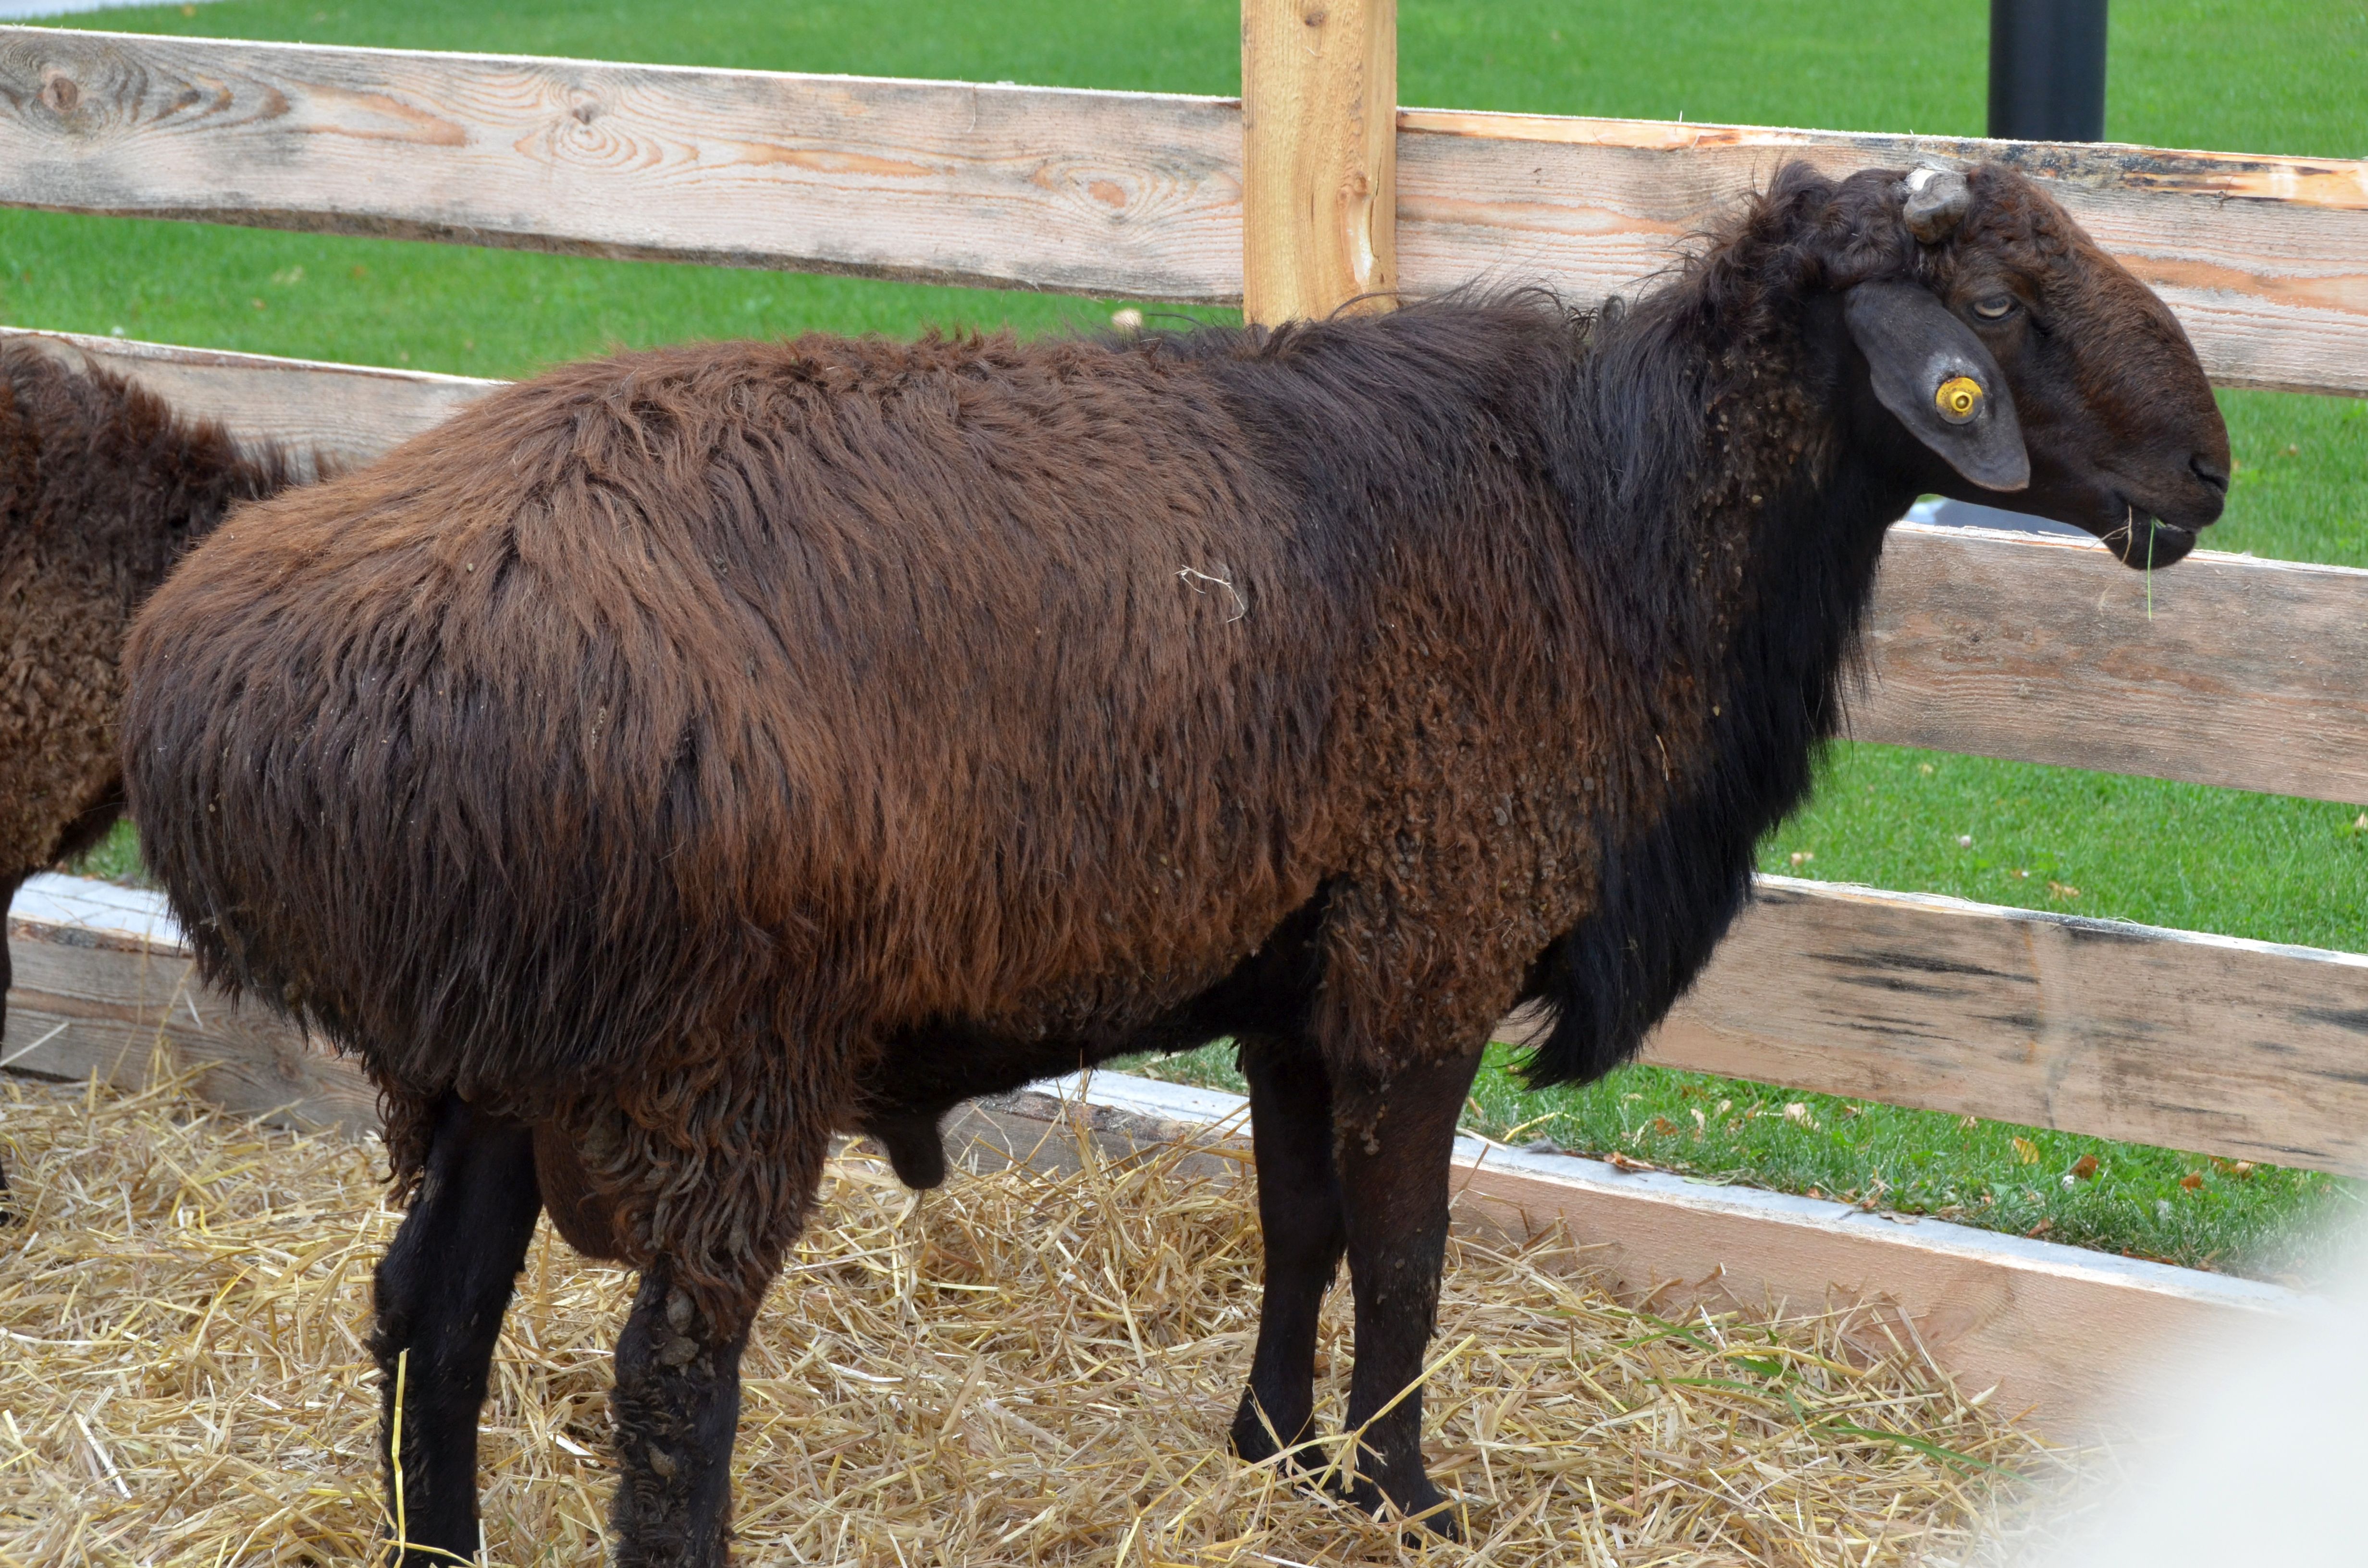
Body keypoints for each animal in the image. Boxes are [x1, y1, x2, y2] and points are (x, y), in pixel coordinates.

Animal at [115, 162, 2216, 1568]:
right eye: (2005, 310)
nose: (2206, 475)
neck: (1609, 515)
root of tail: (230, 691)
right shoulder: (1426, 940)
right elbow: (1406, 1252)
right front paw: (1401, 1495)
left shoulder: (1301, 966)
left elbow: (1295, 1227)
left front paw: (1268, 1452)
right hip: (712, 1047)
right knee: (666, 1376)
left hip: (488, 1043)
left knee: (428, 1317)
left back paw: (441, 1547)